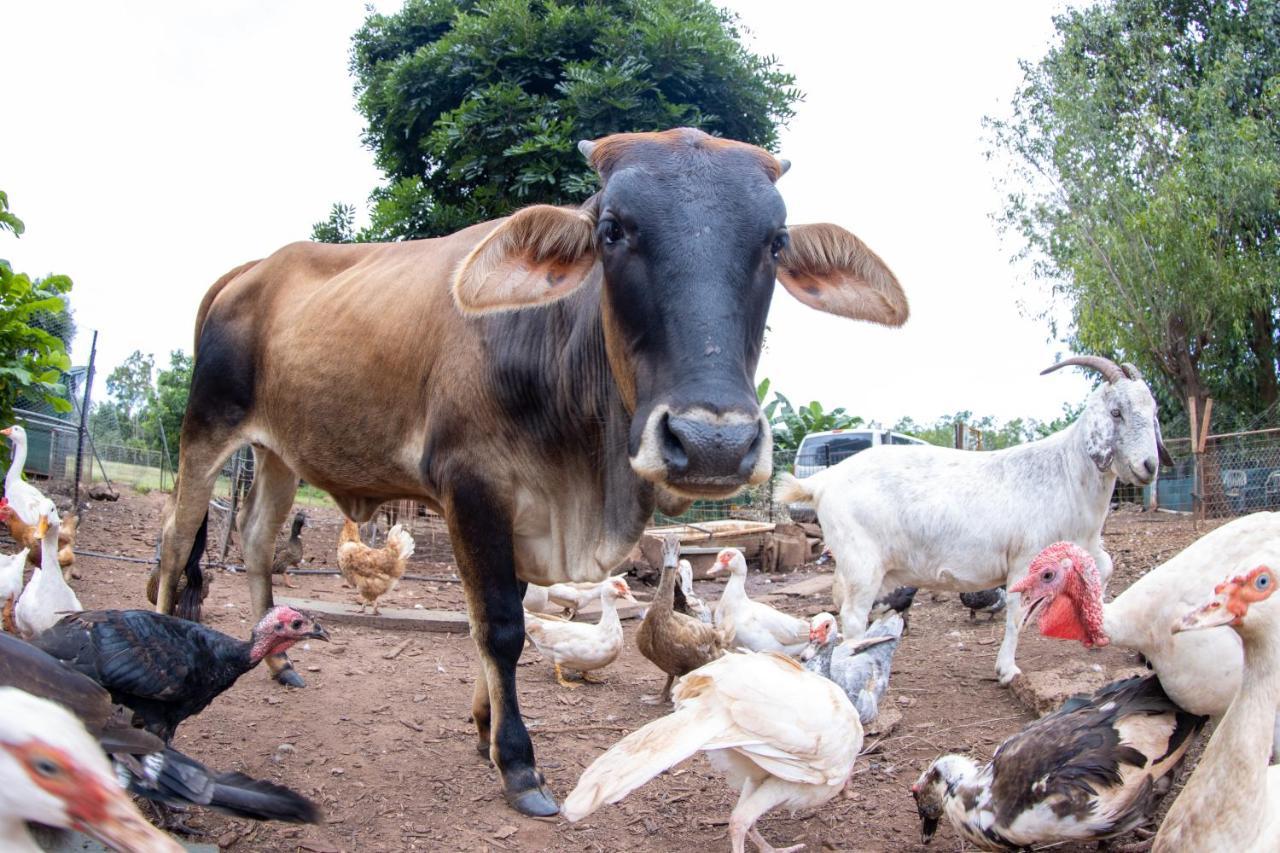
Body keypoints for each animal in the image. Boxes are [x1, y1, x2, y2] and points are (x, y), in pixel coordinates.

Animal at [152, 126, 911, 809]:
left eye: (775, 242)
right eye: (612, 229)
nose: (712, 442)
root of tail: (248, 272)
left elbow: (500, 615)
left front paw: (483, 726)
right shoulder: (473, 489)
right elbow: (500, 626)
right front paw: (517, 763)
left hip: (277, 453)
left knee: (256, 545)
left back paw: (280, 664)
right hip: (204, 430)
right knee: (173, 544)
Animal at [773, 356, 1172, 681]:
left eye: (1152, 411)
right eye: (1117, 412)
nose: (1149, 466)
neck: (1065, 471)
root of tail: (822, 481)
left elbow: (1104, 569)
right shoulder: (1026, 559)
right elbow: (1016, 613)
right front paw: (1007, 669)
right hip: (862, 563)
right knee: (854, 615)